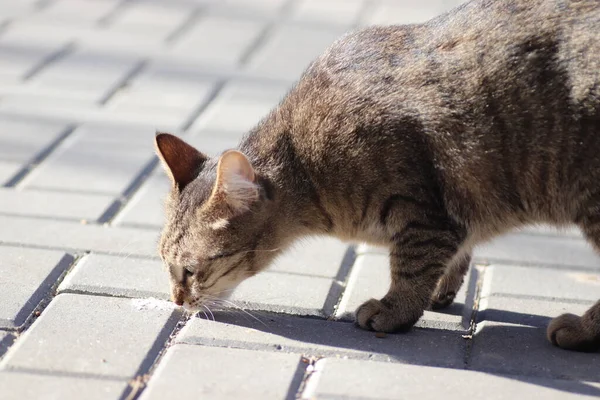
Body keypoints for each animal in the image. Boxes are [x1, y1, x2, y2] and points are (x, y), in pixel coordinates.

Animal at [156, 0, 600, 352]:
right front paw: (441, 289)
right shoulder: (459, 215)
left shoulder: (425, 213)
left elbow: (412, 266)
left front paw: (395, 309)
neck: (306, 162)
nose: (176, 300)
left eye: (190, 270)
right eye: (165, 263)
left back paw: (580, 330)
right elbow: (456, 253)